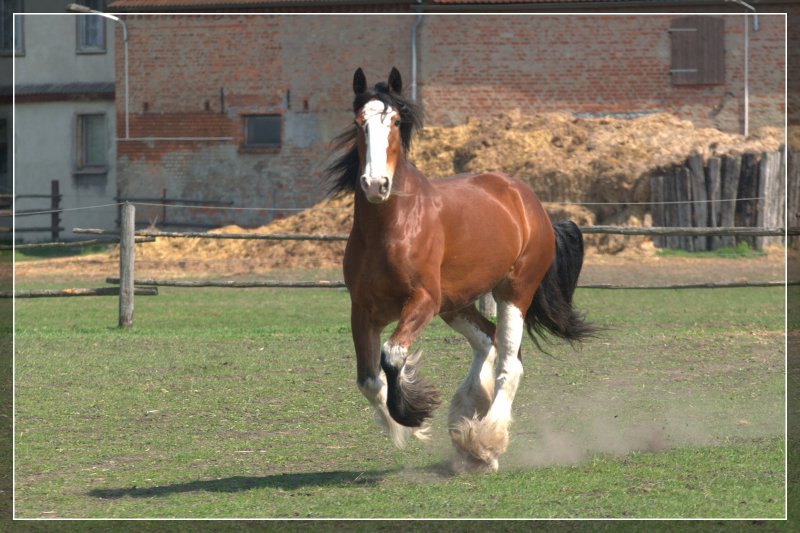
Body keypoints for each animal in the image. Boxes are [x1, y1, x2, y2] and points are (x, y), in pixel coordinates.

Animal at [324, 68, 592, 472]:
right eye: (358, 123)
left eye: (396, 121)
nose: (375, 184)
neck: (393, 226)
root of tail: (526, 200)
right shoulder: (363, 309)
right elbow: (369, 381)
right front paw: (409, 425)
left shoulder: (422, 301)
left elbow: (393, 355)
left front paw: (412, 411)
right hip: (457, 304)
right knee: (488, 341)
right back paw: (469, 421)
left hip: (512, 293)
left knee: (510, 364)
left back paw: (485, 443)